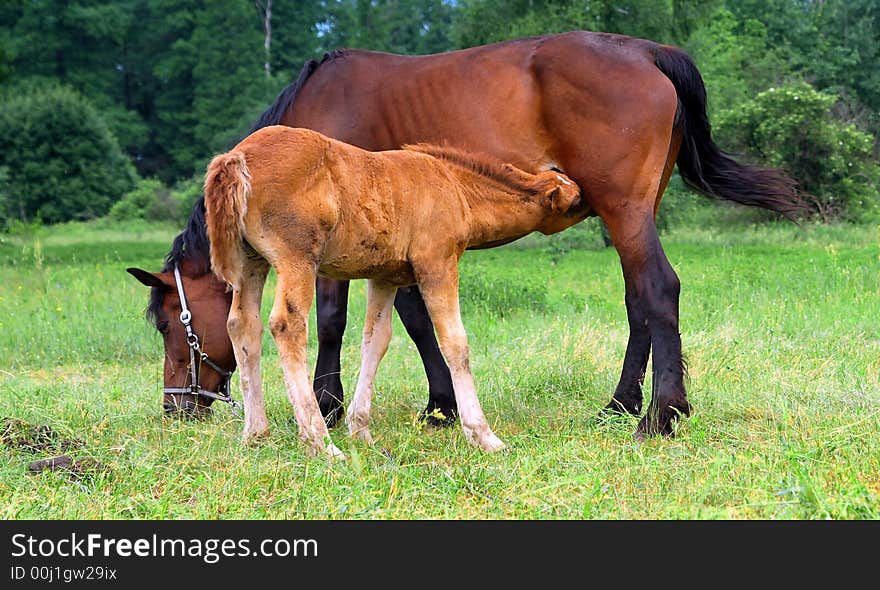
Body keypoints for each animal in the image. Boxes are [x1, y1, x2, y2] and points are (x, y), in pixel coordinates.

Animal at [129, 31, 804, 440]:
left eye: (167, 324)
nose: (174, 405)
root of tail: (644, 51)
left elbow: (335, 321)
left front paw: (331, 404)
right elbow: (412, 319)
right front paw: (441, 404)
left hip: (626, 210)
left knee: (659, 291)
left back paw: (660, 416)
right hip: (629, 215)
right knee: (640, 302)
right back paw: (619, 405)